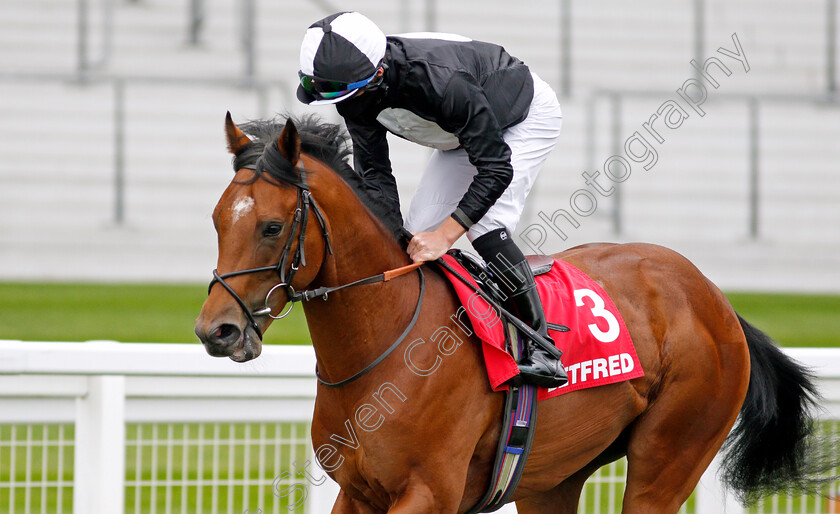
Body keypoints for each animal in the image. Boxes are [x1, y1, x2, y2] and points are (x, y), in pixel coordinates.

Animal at [197, 114, 832, 510]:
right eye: (218, 220)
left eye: (271, 227)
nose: (215, 331)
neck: (387, 349)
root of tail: (716, 300)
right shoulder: (358, 491)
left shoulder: (428, 492)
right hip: (552, 476)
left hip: (668, 460)